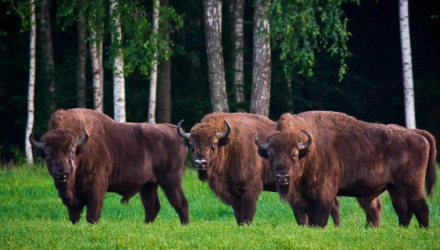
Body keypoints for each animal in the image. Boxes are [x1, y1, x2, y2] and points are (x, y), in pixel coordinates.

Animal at [30, 108, 188, 225]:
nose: (62, 174)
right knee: (152, 206)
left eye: (72, 151)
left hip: (171, 180)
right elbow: (74, 215)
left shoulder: (97, 187)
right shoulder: (70, 198)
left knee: (180, 202)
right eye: (47, 153)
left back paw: (184, 225)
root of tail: (174, 130)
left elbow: (92, 214)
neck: (83, 149)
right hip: (149, 185)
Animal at [256, 111, 434, 229]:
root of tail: (416, 133)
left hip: (412, 185)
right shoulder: (305, 198)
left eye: (294, 154)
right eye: (270, 155)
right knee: (403, 210)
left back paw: (424, 230)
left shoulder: (324, 195)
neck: (309, 151)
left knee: (420, 206)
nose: (282, 177)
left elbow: (320, 219)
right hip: (394, 188)